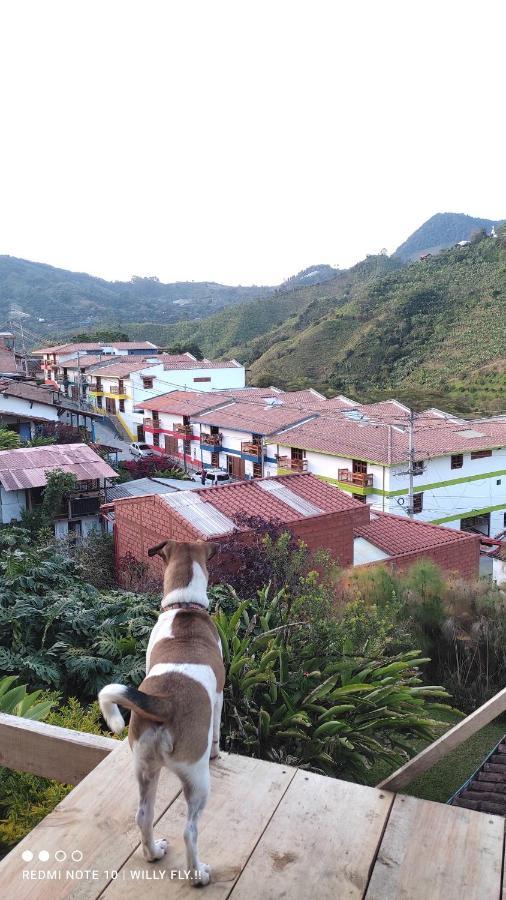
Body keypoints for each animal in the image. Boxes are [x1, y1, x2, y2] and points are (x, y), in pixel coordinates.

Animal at [98, 540, 224, 884]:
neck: (185, 606)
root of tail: (166, 701)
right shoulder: (220, 696)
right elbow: (218, 730)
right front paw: (217, 751)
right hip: (197, 781)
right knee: (190, 831)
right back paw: (198, 874)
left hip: (145, 767)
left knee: (144, 816)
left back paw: (153, 852)